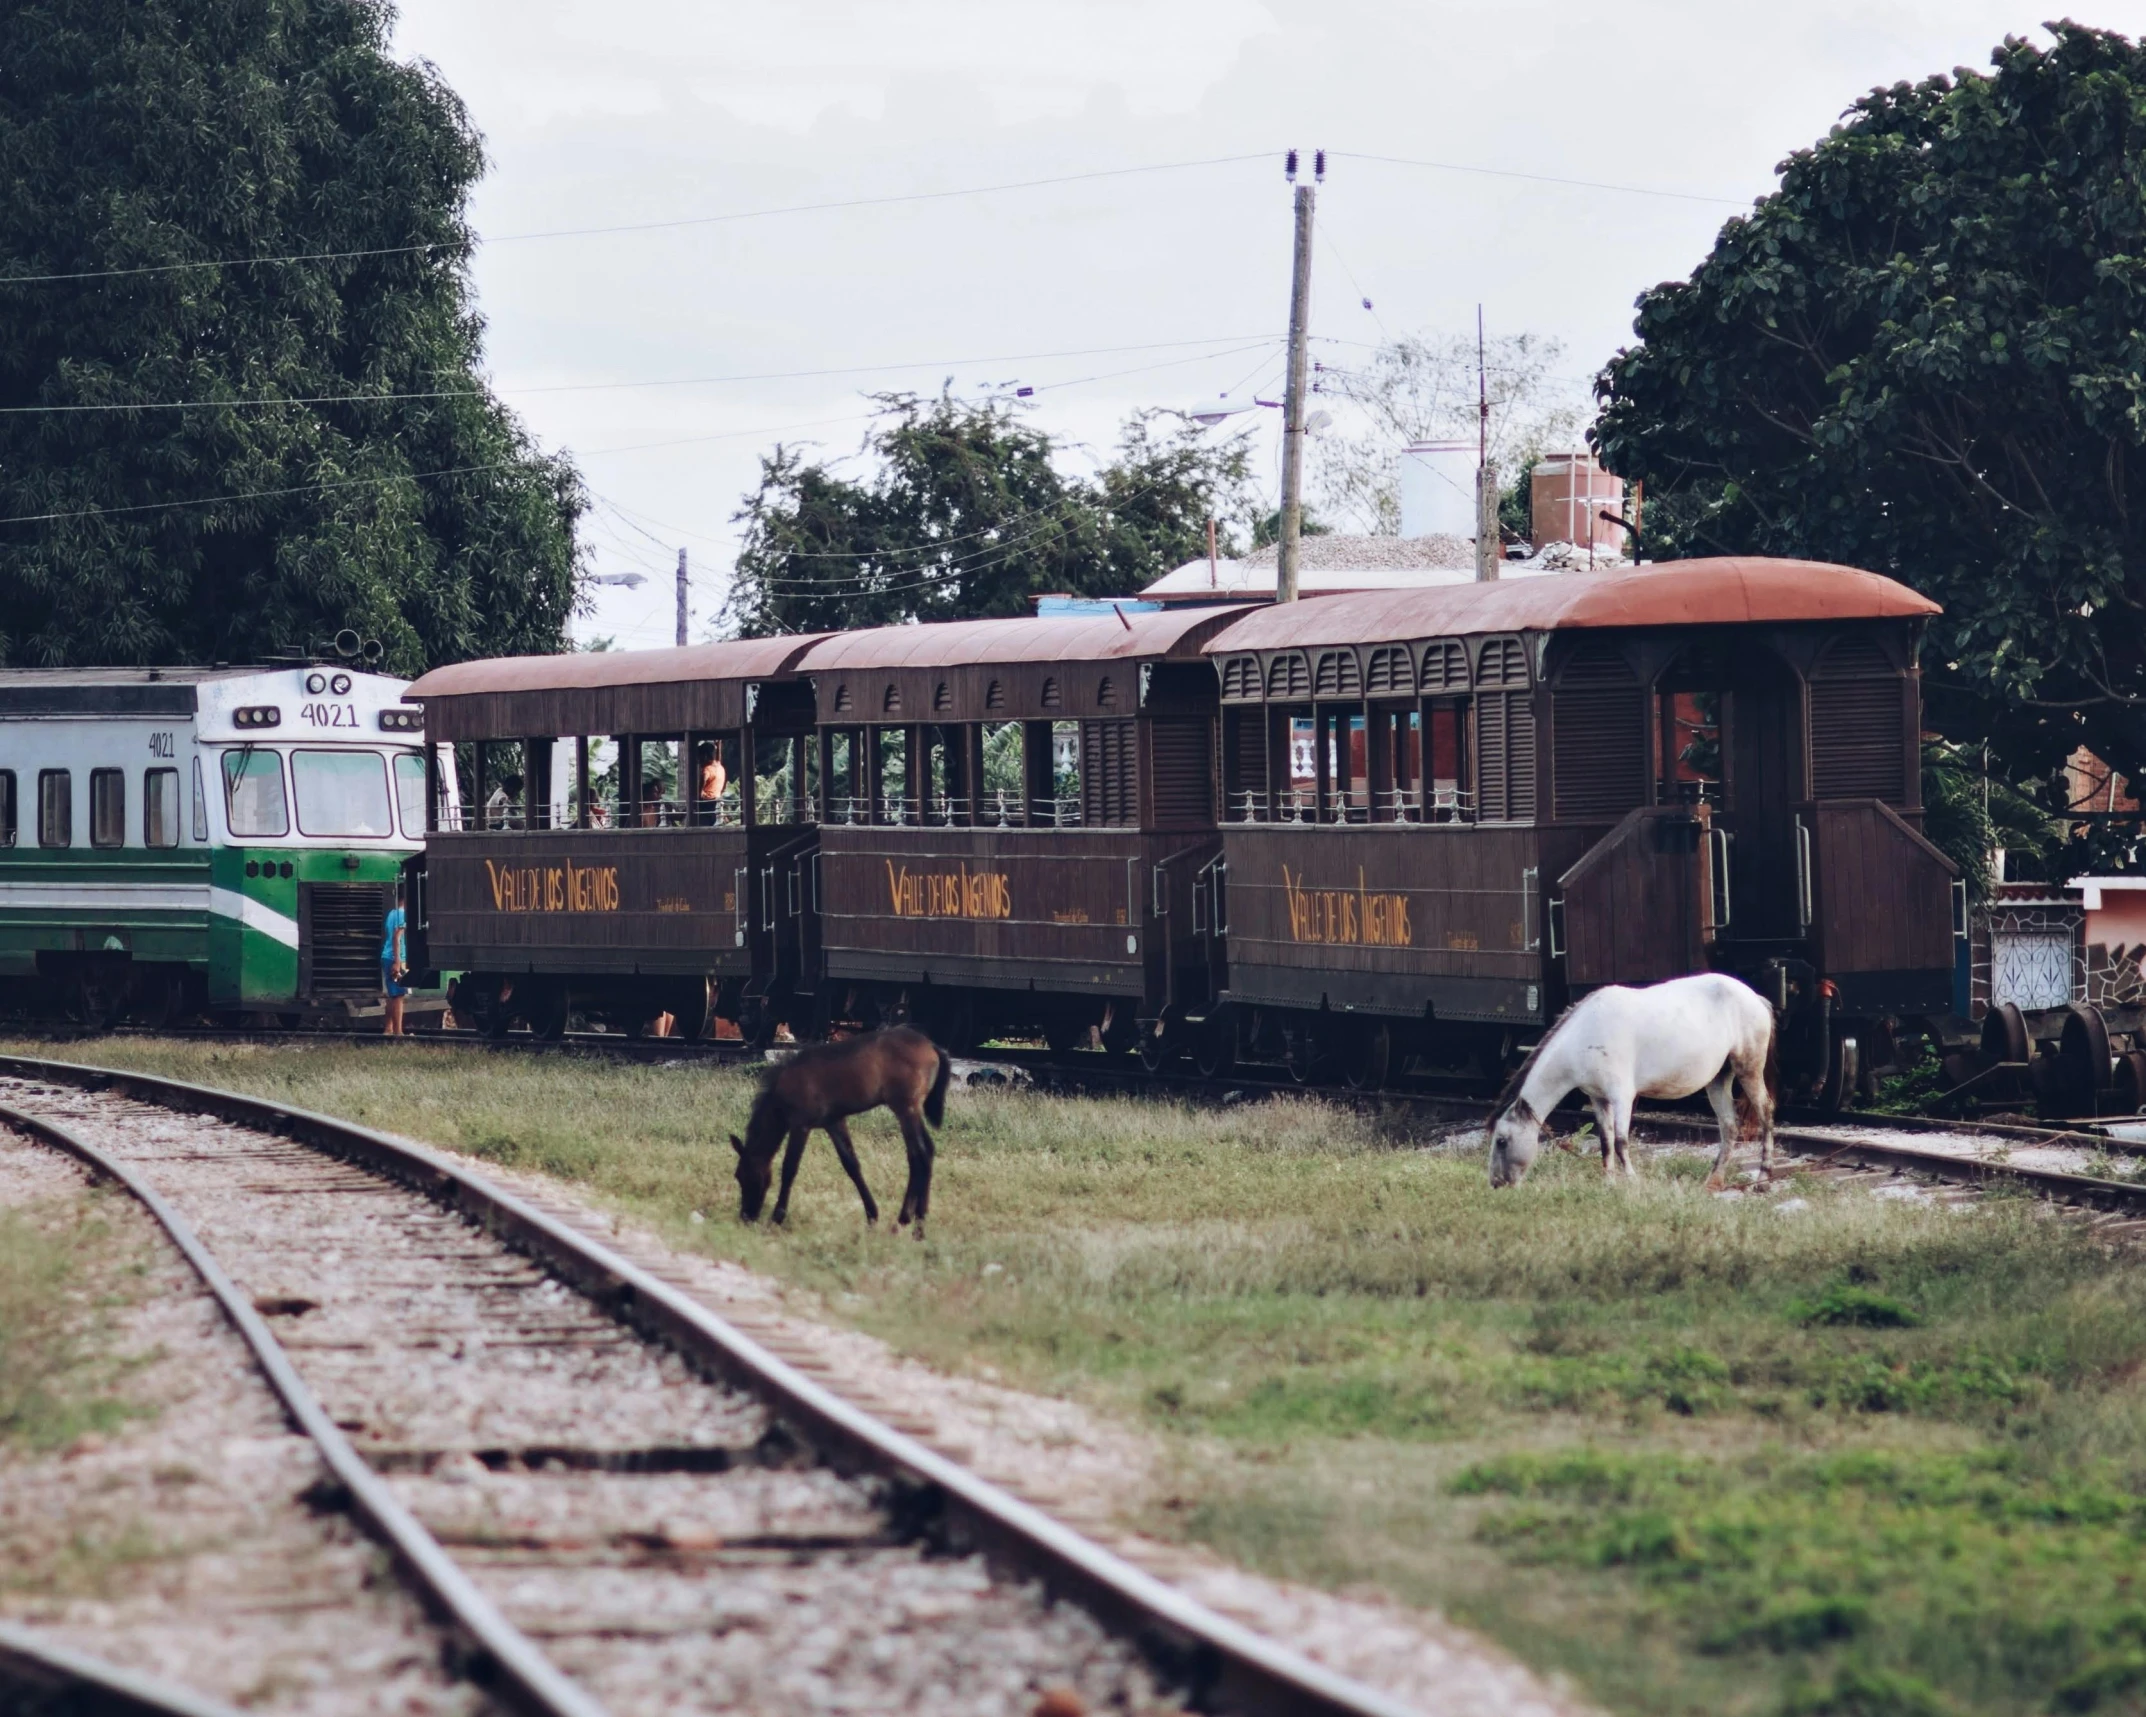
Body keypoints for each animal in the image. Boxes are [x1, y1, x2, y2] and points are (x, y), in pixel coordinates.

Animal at [729, 1034, 948, 1236]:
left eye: (744, 1175)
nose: (746, 1216)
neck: (783, 1089)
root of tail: (932, 1046)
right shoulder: (833, 1123)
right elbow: (851, 1165)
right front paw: (872, 1216)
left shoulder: (800, 1125)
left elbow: (789, 1168)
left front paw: (777, 1217)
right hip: (909, 1111)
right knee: (923, 1153)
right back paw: (910, 1221)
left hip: (906, 1109)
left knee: (920, 1154)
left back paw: (914, 1225)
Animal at [1493, 974, 1776, 1184]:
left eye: (1501, 1141)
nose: (1496, 1183)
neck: (1585, 1034)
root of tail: (1756, 998)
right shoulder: (1599, 1099)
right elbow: (1606, 1142)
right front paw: (1609, 1184)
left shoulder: (1622, 1097)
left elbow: (1621, 1142)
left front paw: (1632, 1182)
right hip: (1718, 1079)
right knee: (1729, 1125)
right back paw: (1713, 1182)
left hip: (1748, 1068)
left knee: (1765, 1111)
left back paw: (1762, 1178)